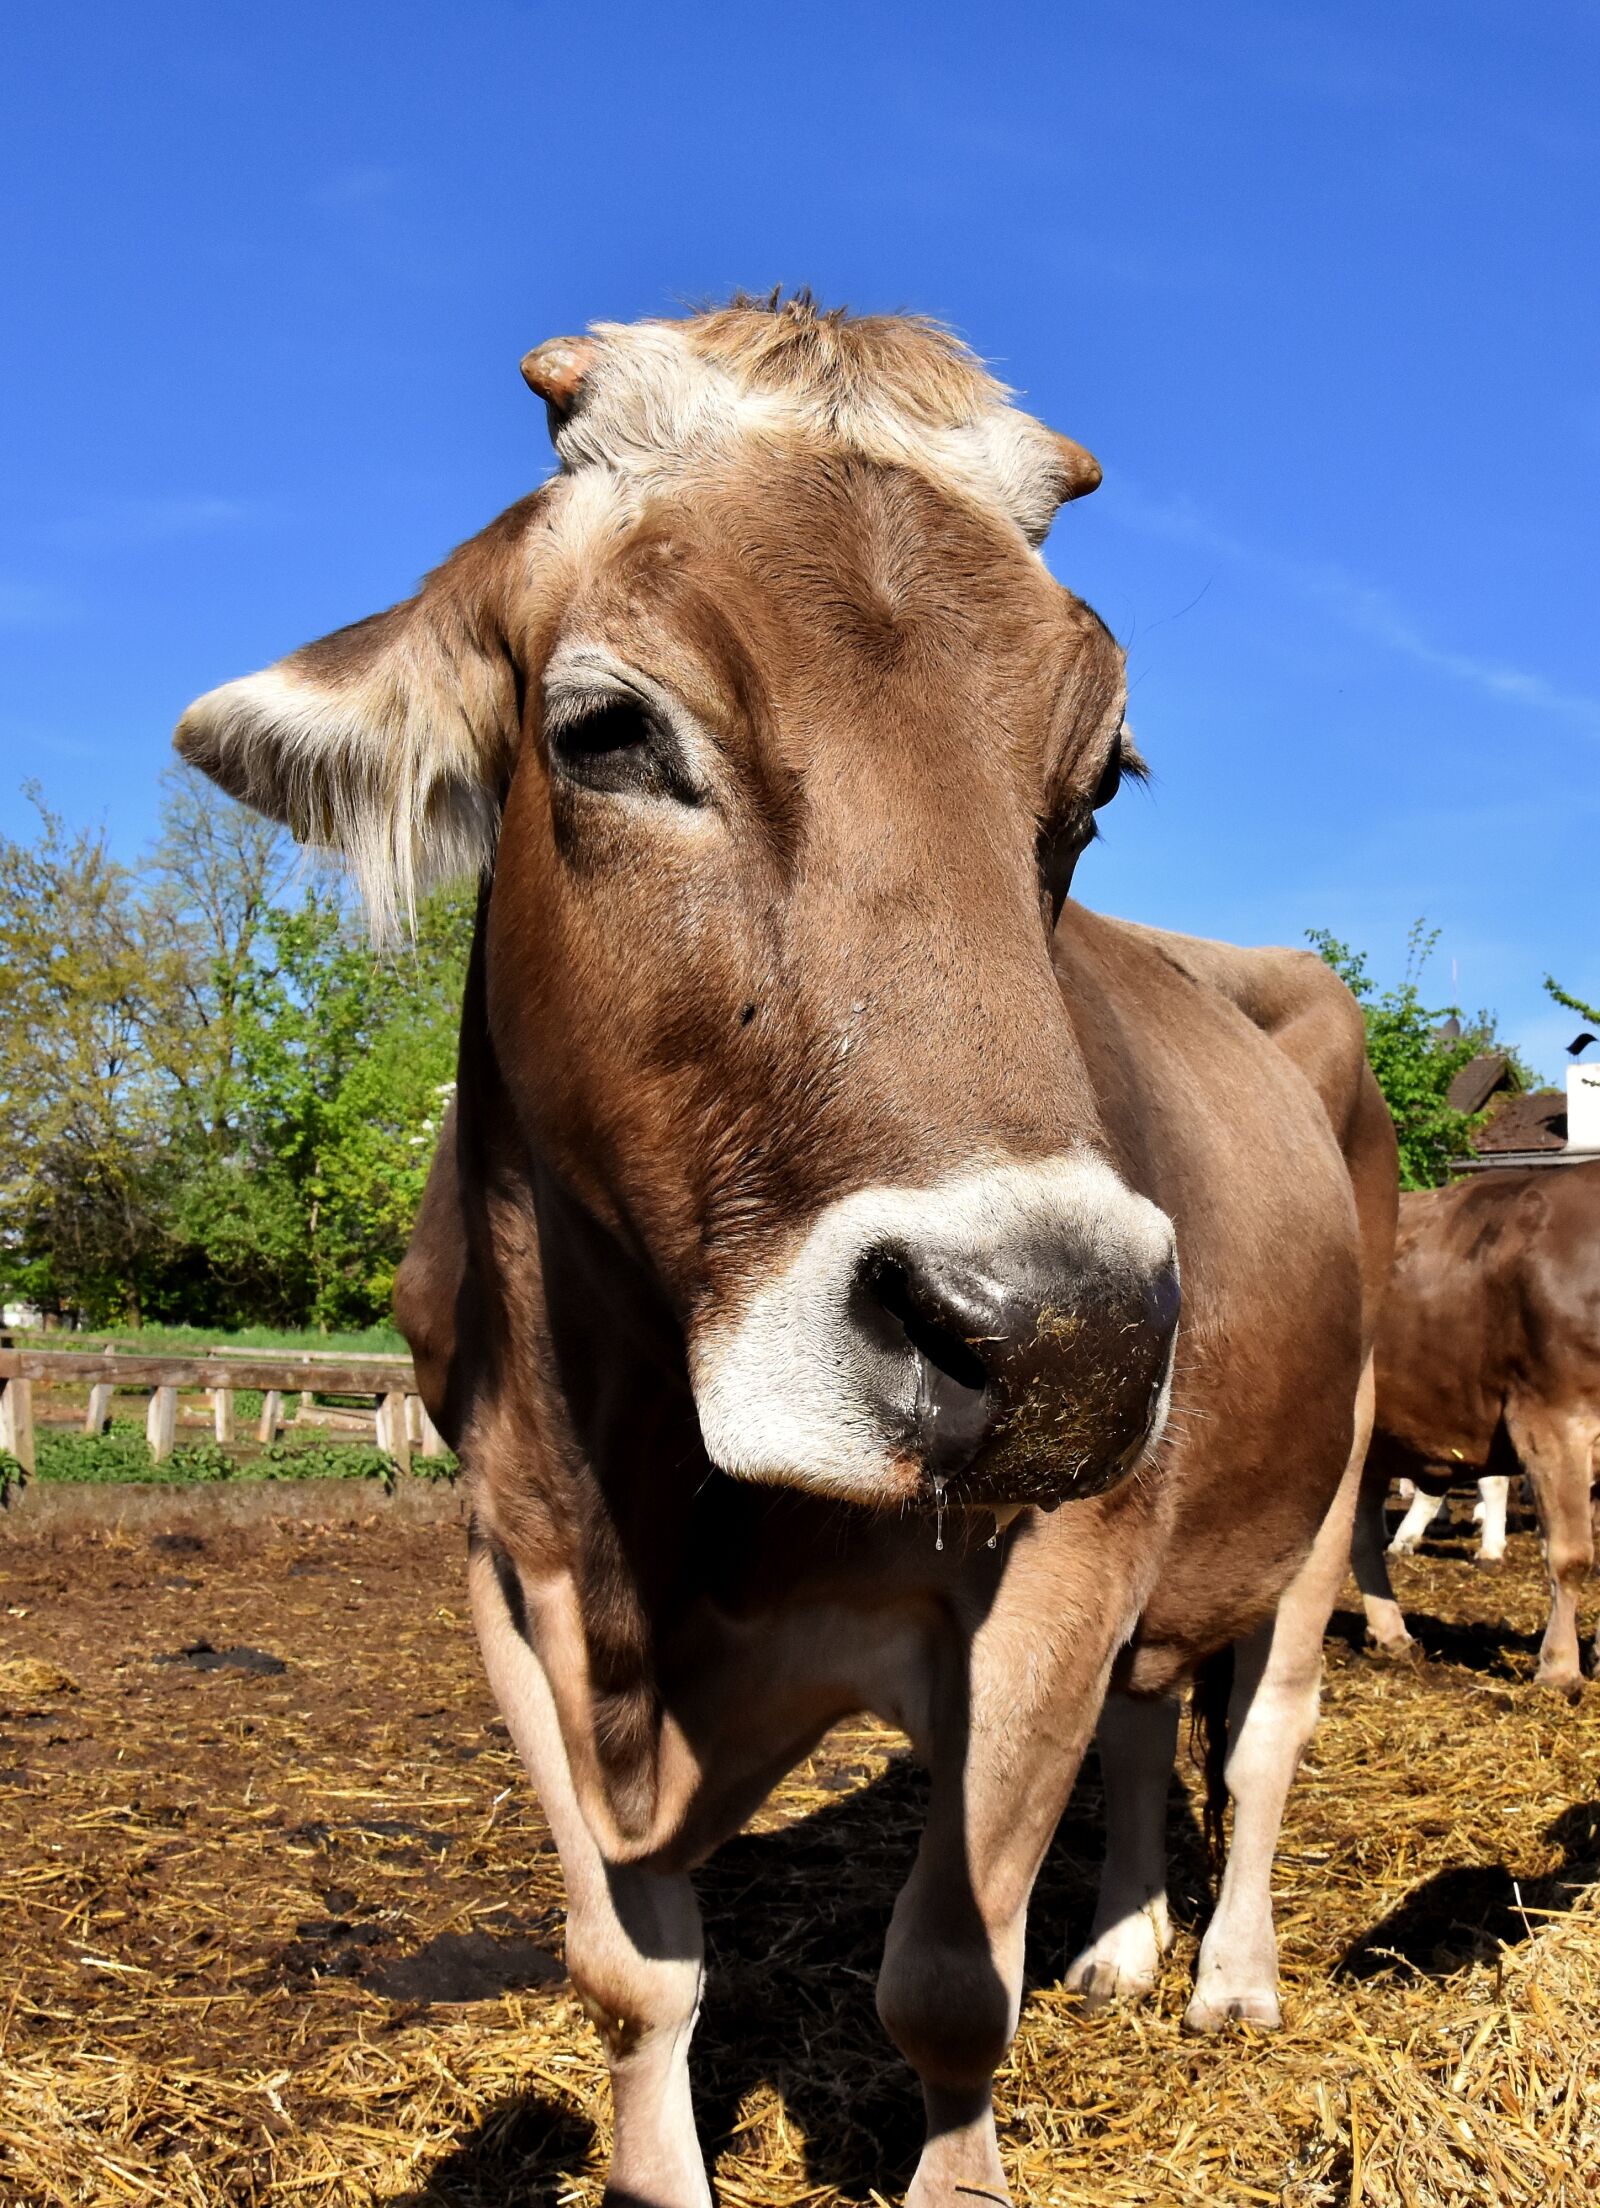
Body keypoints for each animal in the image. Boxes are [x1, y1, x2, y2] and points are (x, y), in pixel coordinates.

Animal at [175, 296, 1396, 2208]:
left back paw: (1230, 1977)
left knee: (1265, 1729)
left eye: (1091, 793)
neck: (648, 1493)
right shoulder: (508, 1559)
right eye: (607, 731)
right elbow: (627, 1972)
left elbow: (950, 1984)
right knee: (1147, 1721)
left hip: (1327, 1468)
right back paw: (1125, 1946)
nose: (1064, 1336)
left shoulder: (1057, 1559)